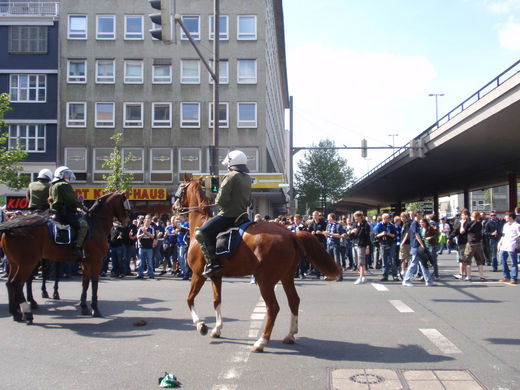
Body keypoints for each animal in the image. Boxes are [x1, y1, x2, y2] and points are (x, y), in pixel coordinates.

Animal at [0, 192, 130, 322]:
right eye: (125, 203)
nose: (127, 221)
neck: (96, 224)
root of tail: (9, 229)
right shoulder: (96, 261)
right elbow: (94, 283)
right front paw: (95, 309)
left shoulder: (86, 262)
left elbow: (85, 283)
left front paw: (84, 307)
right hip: (27, 262)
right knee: (17, 283)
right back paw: (27, 311)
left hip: (14, 263)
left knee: (10, 283)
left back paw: (16, 312)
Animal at [172, 178, 342, 352]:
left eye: (180, 190)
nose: (174, 207)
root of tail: (291, 234)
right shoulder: (215, 276)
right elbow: (216, 301)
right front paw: (217, 329)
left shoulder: (198, 274)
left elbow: (189, 299)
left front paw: (201, 325)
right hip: (287, 277)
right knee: (294, 301)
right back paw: (290, 335)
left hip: (265, 280)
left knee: (273, 308)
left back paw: (261, 341)